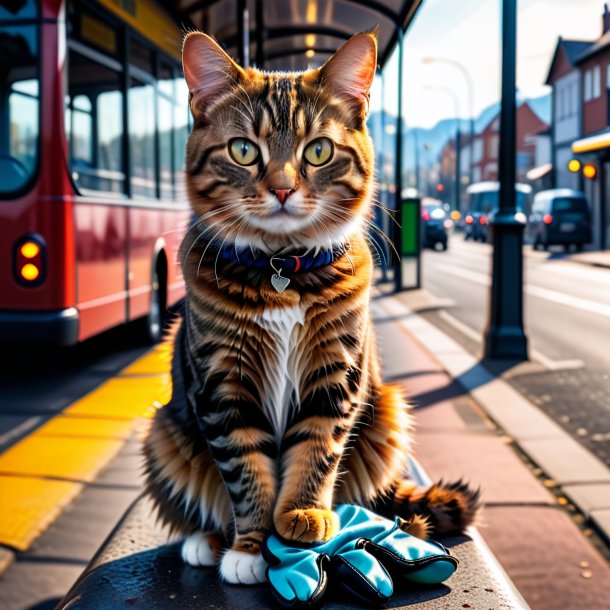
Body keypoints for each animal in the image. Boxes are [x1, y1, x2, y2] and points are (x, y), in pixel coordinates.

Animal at [145, 30, 478, 580]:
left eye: (318, 150)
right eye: (243, 150)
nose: (281, 188)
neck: (282, 269)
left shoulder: (335, 372)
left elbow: (317, 450)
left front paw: (303, 514)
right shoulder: (223, 385)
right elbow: (246, 469)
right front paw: (249, 548)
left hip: (387, 413)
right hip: (165, 434)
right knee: (205, 501)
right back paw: (206, 541)